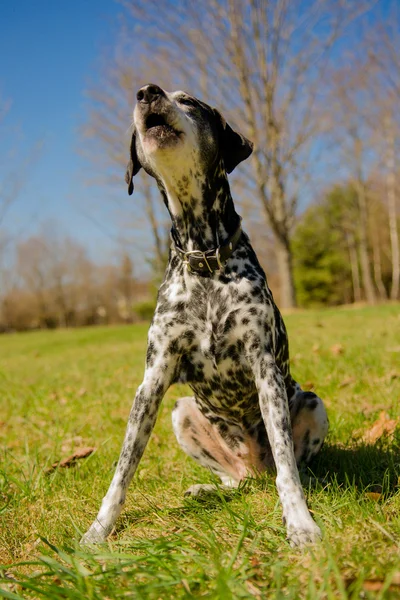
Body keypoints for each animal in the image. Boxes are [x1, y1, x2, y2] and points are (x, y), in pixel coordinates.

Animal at [81, 84, 328, 548]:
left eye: (190, 101)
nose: (147, 92)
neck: (205, 258)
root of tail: (253, 469)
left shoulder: (265, 368)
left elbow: (287, 467)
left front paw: (301, 524)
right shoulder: (152, 382)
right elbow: (122, 471)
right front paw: (98, 530)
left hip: (311, 401)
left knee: (288, 466)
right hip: (182, 413)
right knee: (234, 481)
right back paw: (209, 488)